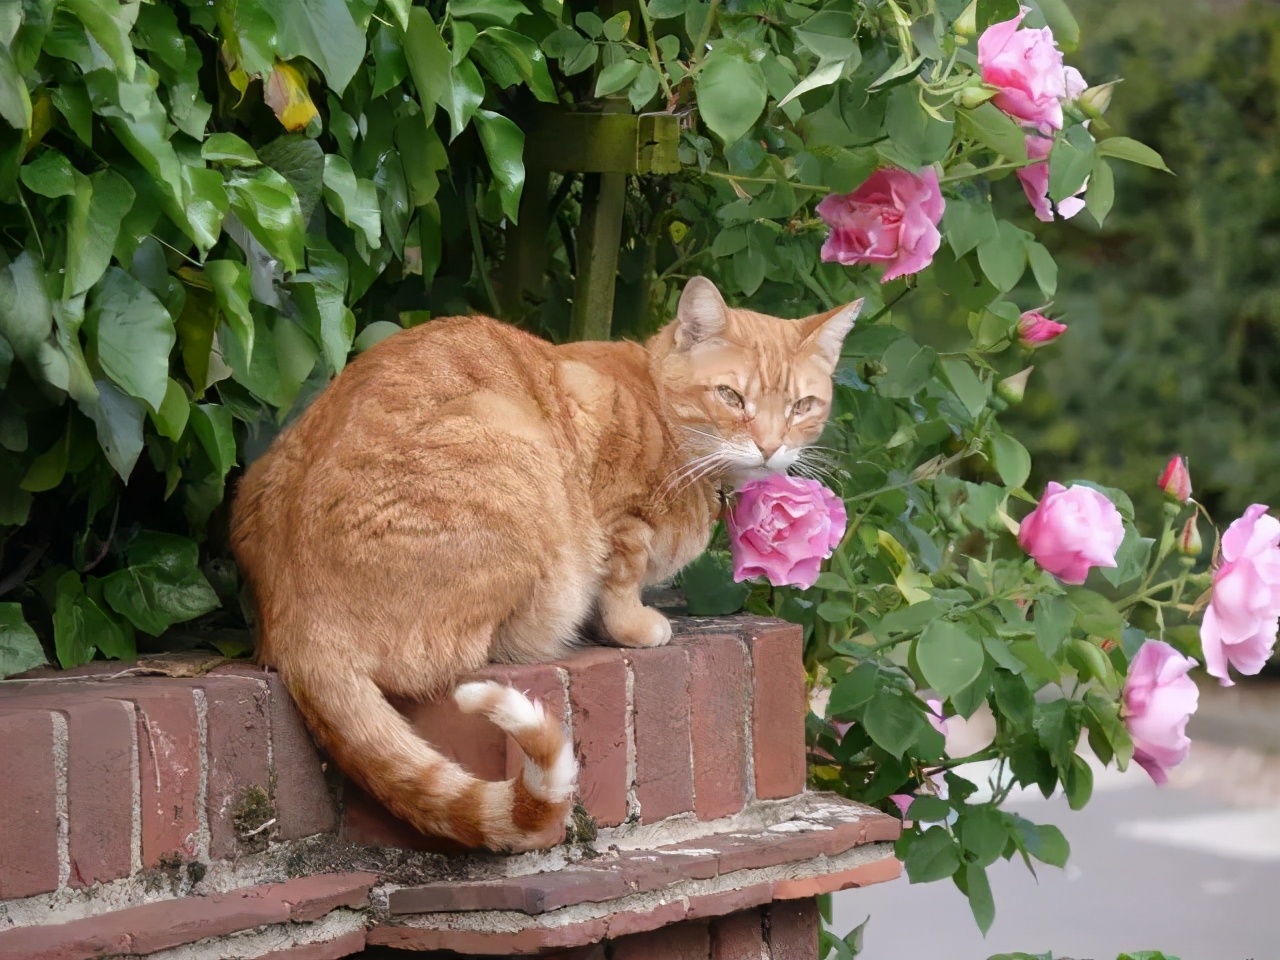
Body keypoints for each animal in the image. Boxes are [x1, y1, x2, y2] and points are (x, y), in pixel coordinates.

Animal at [230, 276, 860, 849]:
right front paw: (634, 625)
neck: (659, 407)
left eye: (802, 406)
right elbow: (621, 577)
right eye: (731, 397)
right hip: (514, 445)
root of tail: (296, 629)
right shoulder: (618, 518)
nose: (770, 447)